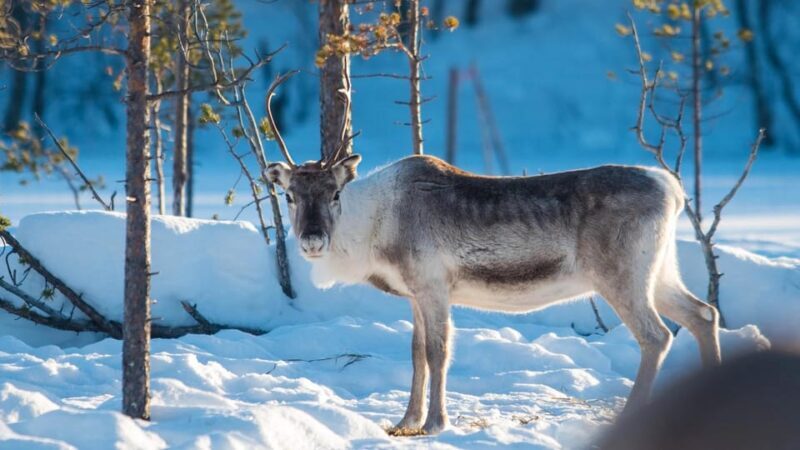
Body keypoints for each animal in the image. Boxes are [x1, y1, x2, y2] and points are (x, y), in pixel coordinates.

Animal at [262, 73, 721, 435]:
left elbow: (437, 353)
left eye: (335, 193)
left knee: (657, 335)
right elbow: (415, 353)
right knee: (703, 313)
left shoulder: (433, 286)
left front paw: (436, 423)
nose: (313, 240)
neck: (374, 229)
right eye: (289, 195)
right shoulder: (415, 294)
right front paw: (405, 421)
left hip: (621, 275)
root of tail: (672, 188)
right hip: (659, 272)